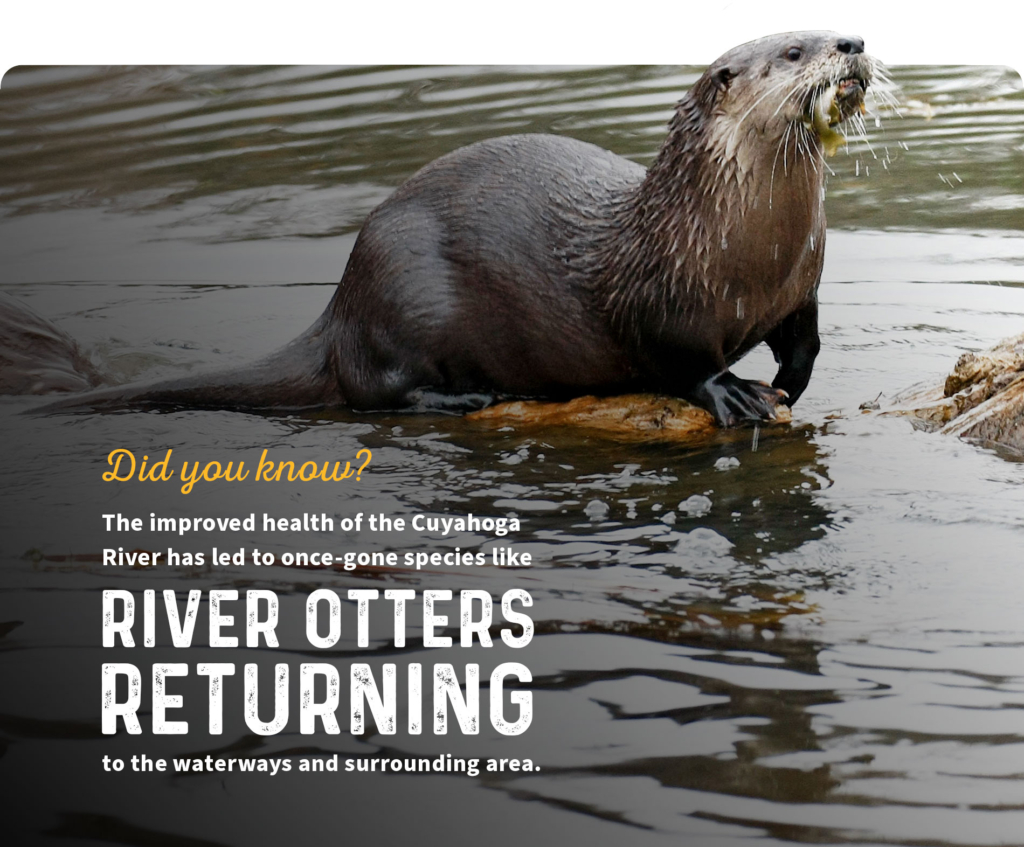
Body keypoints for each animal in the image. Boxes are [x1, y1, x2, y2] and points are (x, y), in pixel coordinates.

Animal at [36, 34, 876, 424]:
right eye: (793, 49)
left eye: (827, 32)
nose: (854, 43)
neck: (739, 244)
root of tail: (340, 301)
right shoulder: (658, 305)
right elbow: (677, 362)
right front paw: (732, 391)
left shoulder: (802, 285)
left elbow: (805, 337)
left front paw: (787, 383)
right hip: (404, 292)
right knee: (375, 391)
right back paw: (463, 396)